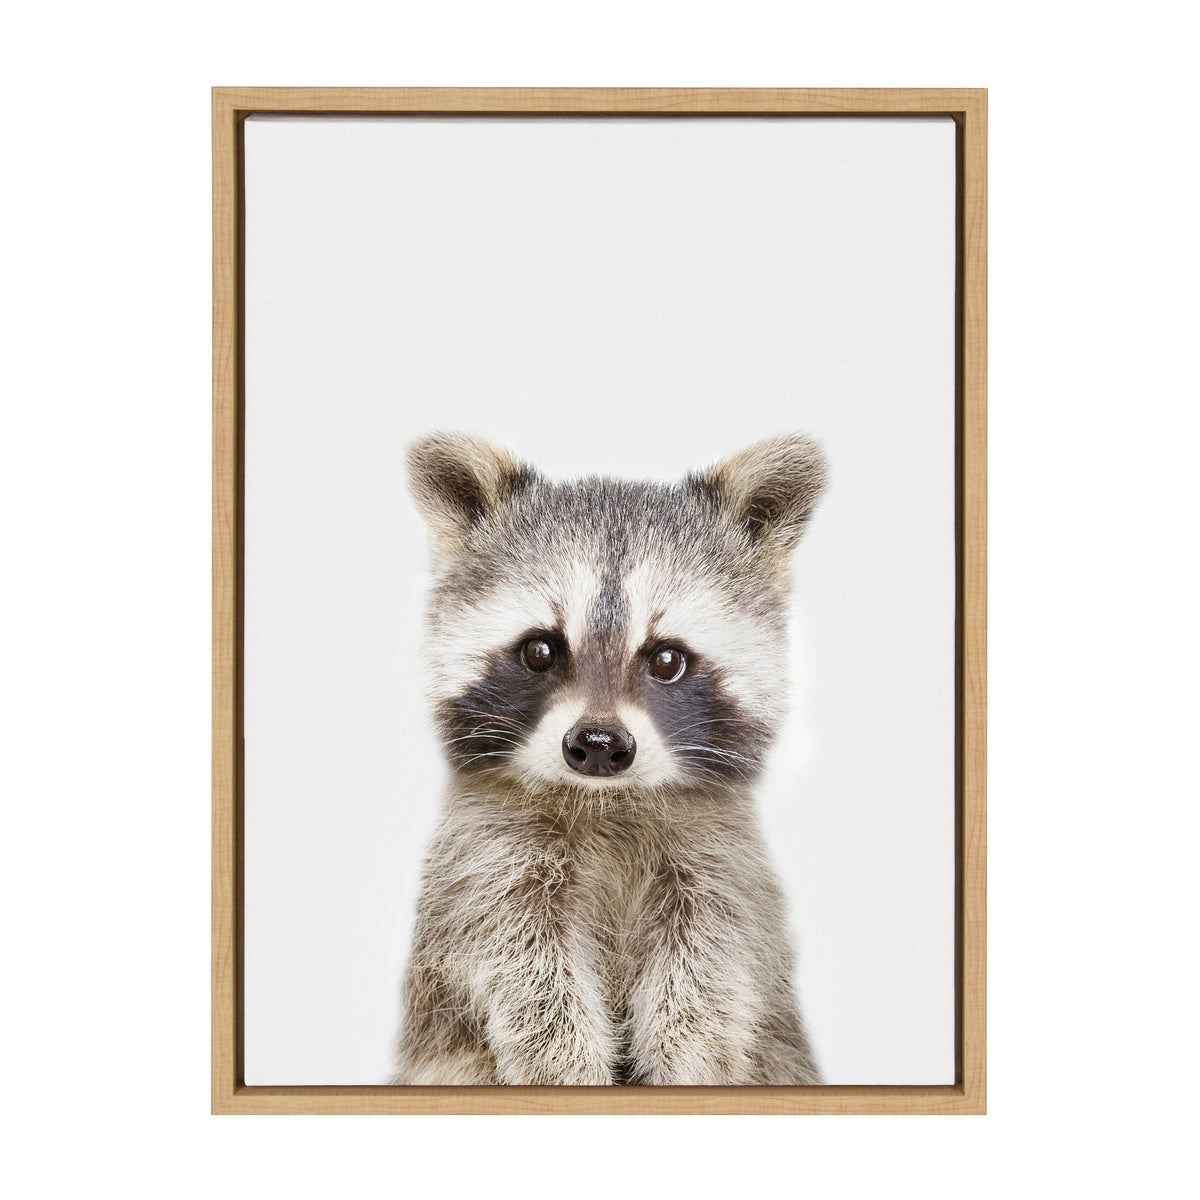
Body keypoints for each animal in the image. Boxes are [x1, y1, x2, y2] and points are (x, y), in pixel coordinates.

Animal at [393, 431, 827, 1086]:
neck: (606, 802)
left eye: (667, 659)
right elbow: (524, 969)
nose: (598, 746)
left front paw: (686, 1062)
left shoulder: (721, 862)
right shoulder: (484, 860)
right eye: (540, 650)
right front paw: (565, 1067)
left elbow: (709, 972)